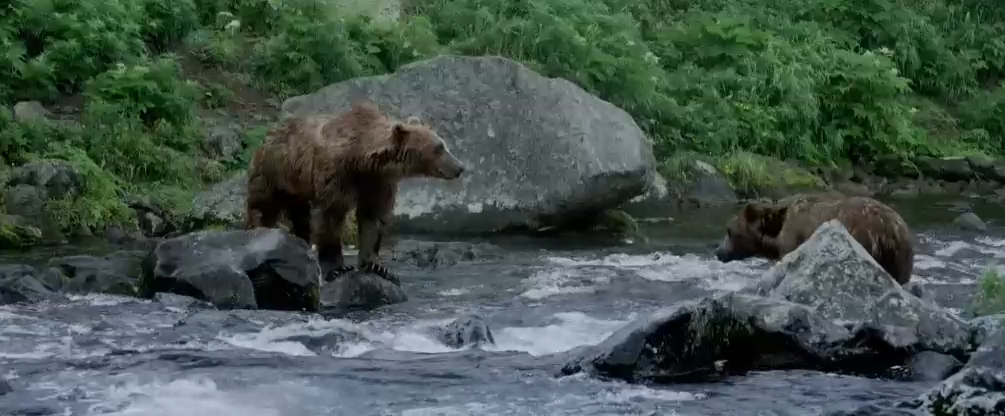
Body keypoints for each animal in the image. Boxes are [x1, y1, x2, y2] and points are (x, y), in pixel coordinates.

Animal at [243, 101, 466, 281]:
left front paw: (377, 266)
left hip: (296, 186)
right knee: (263, 205)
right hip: (274, 171)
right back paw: (258, 230)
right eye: (439, 147)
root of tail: (270, 131)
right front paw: (337, 269)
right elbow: (331, 217)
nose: (460, 167)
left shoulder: (377, 183)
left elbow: (372, 218)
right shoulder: (336, 176)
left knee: (300, 216)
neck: (361, 160)